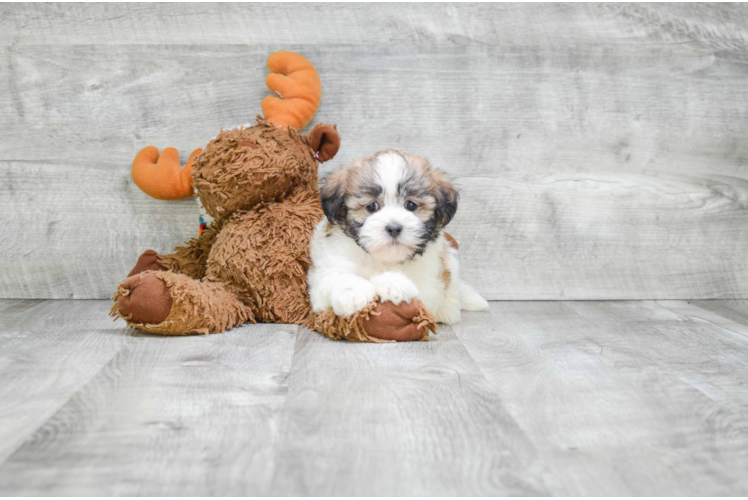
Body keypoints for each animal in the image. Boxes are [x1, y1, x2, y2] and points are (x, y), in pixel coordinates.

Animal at [306, 148, 488, 324]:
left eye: (411, 205)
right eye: (372, 206)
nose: (394, 228)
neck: (383, 259)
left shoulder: (430, 282)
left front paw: (392, 283)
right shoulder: (325, 271)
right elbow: (333, 277)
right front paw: (352, 292)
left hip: (450, 258)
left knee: (452, 289)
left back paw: (449, 311)